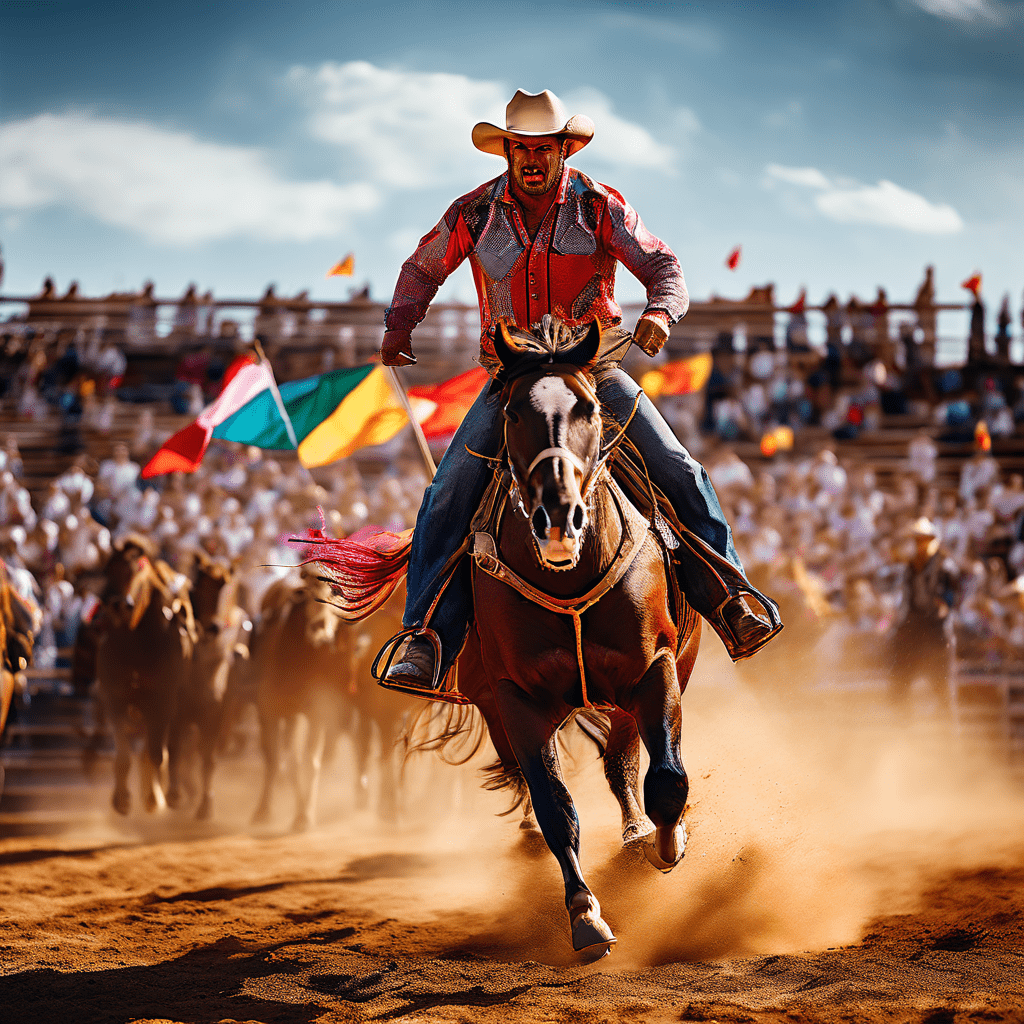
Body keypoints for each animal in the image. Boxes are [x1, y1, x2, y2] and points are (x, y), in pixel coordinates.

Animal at [95, 536, 194, 815]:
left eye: (138, 571)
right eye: (108, 570)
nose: (118, 604)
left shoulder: (163, 700)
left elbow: (156, 752)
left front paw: (152, 797)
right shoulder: (114, 698)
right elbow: (123, 753)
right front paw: (121, 799)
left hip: (180, 705)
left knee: (172, 745)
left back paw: (170, 793)